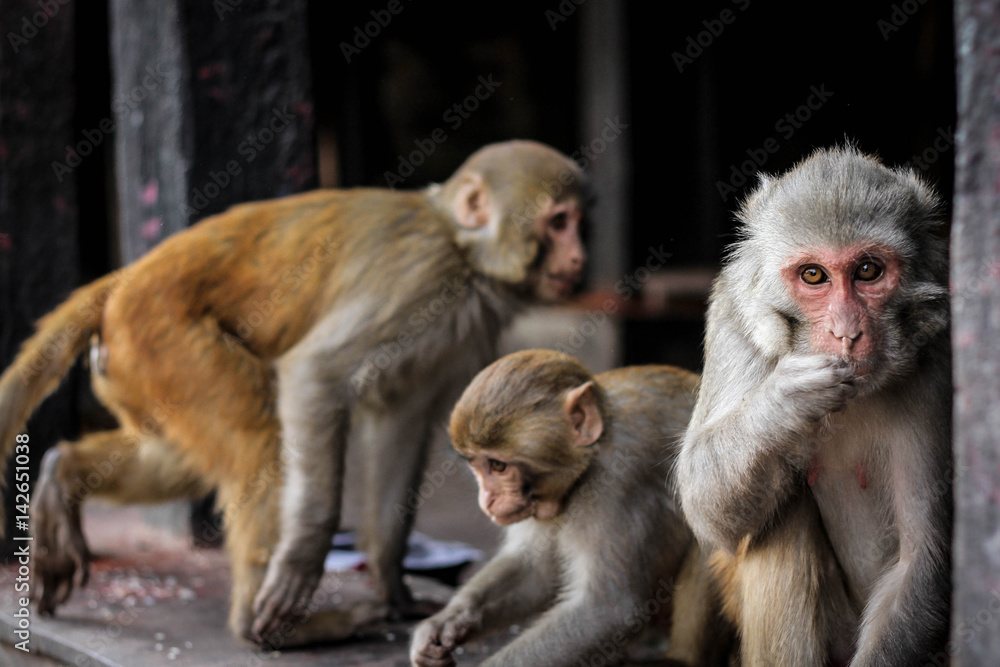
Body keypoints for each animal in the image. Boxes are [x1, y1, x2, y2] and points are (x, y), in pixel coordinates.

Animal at [0, 140, 590, 647]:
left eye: (578, 222)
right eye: (559, 222)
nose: (579, 258)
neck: (462, 250)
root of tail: (122, 283)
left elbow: (399, 419)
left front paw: (393, 583)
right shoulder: (419, 276)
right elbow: (316, 374)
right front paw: (304, 560)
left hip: (135, 366)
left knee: (189, 457)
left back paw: (62, 473)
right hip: (163, 337)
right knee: (260, 430)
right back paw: (269, 627)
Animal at [410, 349, 730, 667]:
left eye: (498, 466)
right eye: (475, 466)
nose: (486, 499)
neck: (591, 456)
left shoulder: (618, 486)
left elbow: (606, 610)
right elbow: (536, 570)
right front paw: (443, 624)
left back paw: (682, 660)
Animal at [675, 146, 952, 666]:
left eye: (867, 271)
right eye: (813, 275)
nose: (846, 332)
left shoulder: (941, 356)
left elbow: (922, 559)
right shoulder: (737, 318)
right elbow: (704, 501)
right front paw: (787, 402)